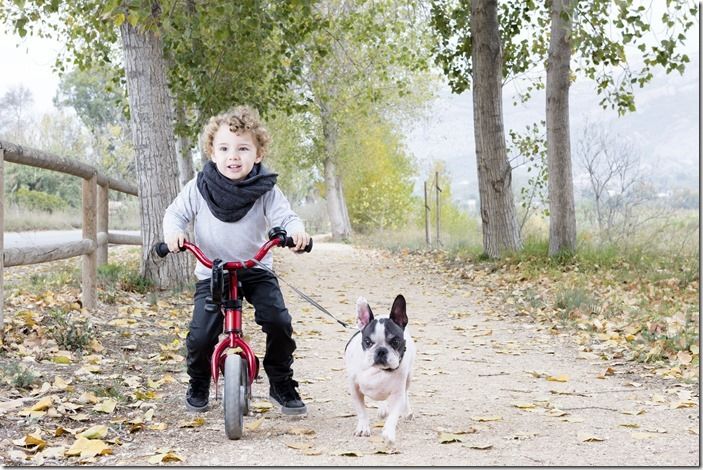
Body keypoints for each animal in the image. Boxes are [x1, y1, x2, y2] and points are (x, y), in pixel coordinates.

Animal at [344, 294, 416, 444]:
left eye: (395, 341)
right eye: (367, 342)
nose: (381, 351)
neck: (379, 371)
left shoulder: (397, 393)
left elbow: (393, 415)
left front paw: (389, 433)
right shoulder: (355, 389)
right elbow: (361, 411)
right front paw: (363, 428)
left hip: (409, 377)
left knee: (406, 393)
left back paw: (406, 411)